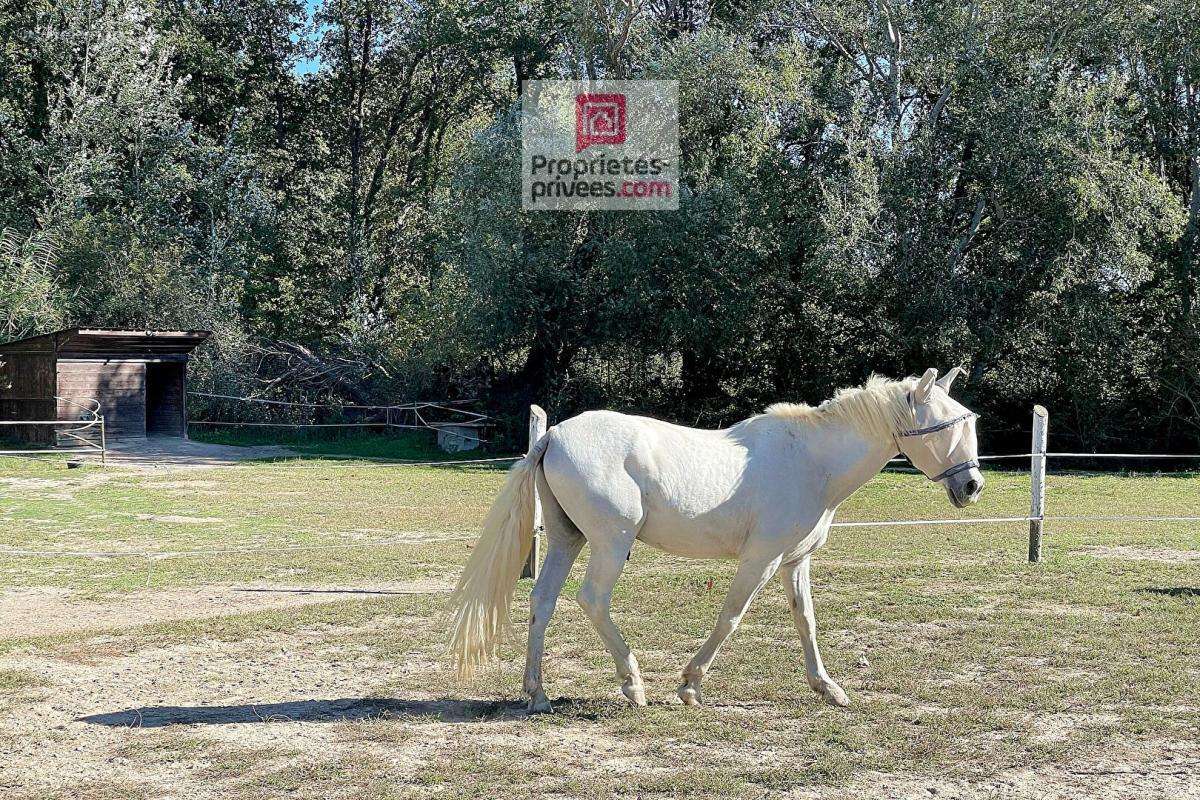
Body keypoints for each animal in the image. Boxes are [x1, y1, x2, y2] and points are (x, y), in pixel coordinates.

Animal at [451, 369, 984, 714]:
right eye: (943, 426)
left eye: (970, 420)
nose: (972, 486)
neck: (811, 462)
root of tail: (554, 435)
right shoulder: (761, 559)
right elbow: (731, 617)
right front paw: (689, 685)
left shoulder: (794, 562)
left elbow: (806, 621)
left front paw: (828, 688)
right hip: (610, 543)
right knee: (593, 600)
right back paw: (633, 685)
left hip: (568, 539)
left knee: (543, 601)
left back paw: (537, 694)